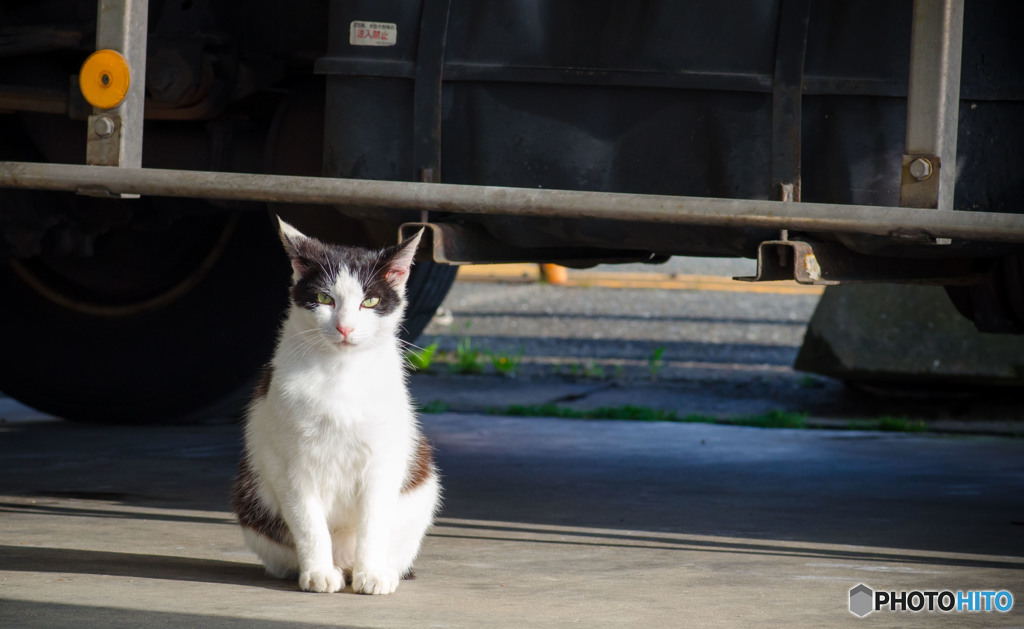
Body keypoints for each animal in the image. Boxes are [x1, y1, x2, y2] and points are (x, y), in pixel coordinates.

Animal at [232, 220, 440, 598]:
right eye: (324, 299)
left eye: (370, 301)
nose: (345, 326)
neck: (341, 375)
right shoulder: (289, 464)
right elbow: (307, 521)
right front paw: (317, 573)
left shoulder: (383, 460)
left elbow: (374, 520)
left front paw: (372, 574)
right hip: (250, 497)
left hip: (423, 487)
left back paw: (374, 569)